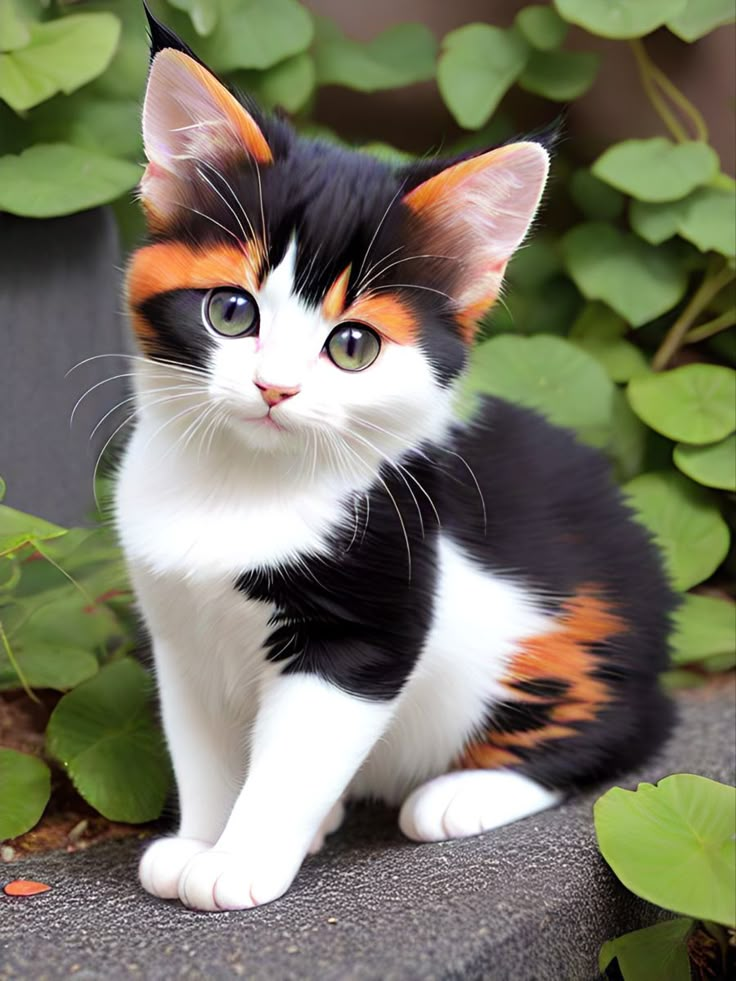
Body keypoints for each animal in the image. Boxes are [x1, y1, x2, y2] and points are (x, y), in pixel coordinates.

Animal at [113, 9, 672, 912]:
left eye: (353, 346)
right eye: (231, 312)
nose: (273, 387)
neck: (242, 485)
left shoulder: (367, 622)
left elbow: (294, 755)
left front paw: (240, 858)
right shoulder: (179, 632)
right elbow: (200, 744)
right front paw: (200, 836)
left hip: (574, 642)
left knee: (628, 731)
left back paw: (464, 792)